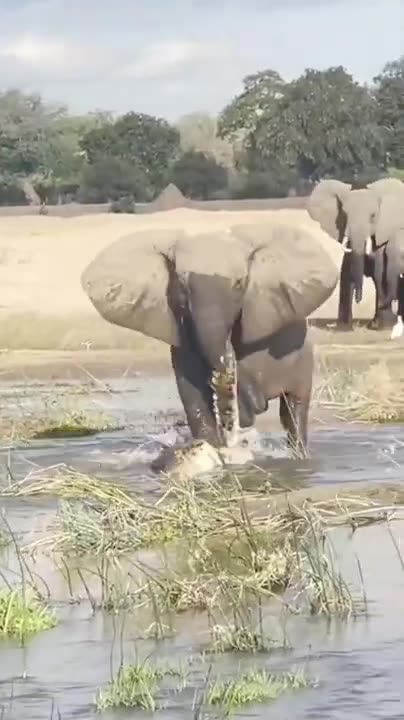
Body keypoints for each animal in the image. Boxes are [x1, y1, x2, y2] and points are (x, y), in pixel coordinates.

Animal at [81, 223, 339, 459]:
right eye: (182, 285)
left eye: (239, 284)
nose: (258, 403)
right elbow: (192, 393)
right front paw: (211, 446)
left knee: (295, 410)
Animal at [307, 177, 404, 330]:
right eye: (344, 215)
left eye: (373, 216)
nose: (358, 300)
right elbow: (346, 269)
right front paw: (344, 327)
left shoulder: (383, 231)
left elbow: (379, 271)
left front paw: (378, 325)